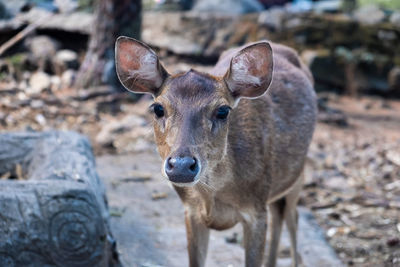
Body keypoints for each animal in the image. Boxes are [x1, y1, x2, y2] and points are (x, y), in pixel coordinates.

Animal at [114, 36, 318, 267]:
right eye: (158, 108)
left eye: (222, 110)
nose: (182, 166)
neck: (213, 195)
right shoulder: (191, 210)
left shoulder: (256, 210)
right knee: (280, 214)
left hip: (296, 174)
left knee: (292, 217)